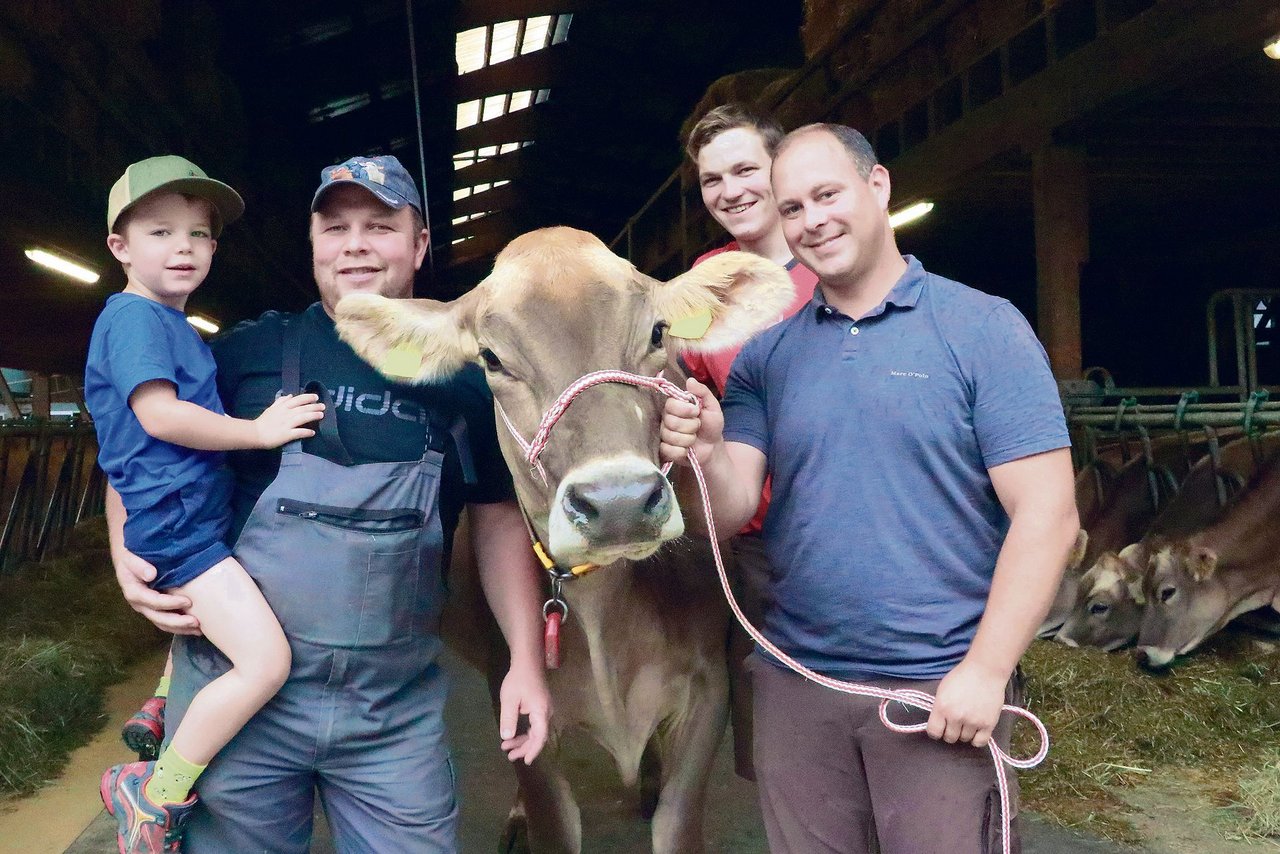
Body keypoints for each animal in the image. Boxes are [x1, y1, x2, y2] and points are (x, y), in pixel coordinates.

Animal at [332, 229, 788, 854]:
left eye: (657, 332)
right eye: (491, 358)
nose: (619, 502)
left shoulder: (706, 692)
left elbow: (675, 820)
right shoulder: (519, 703)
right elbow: (554, 818)